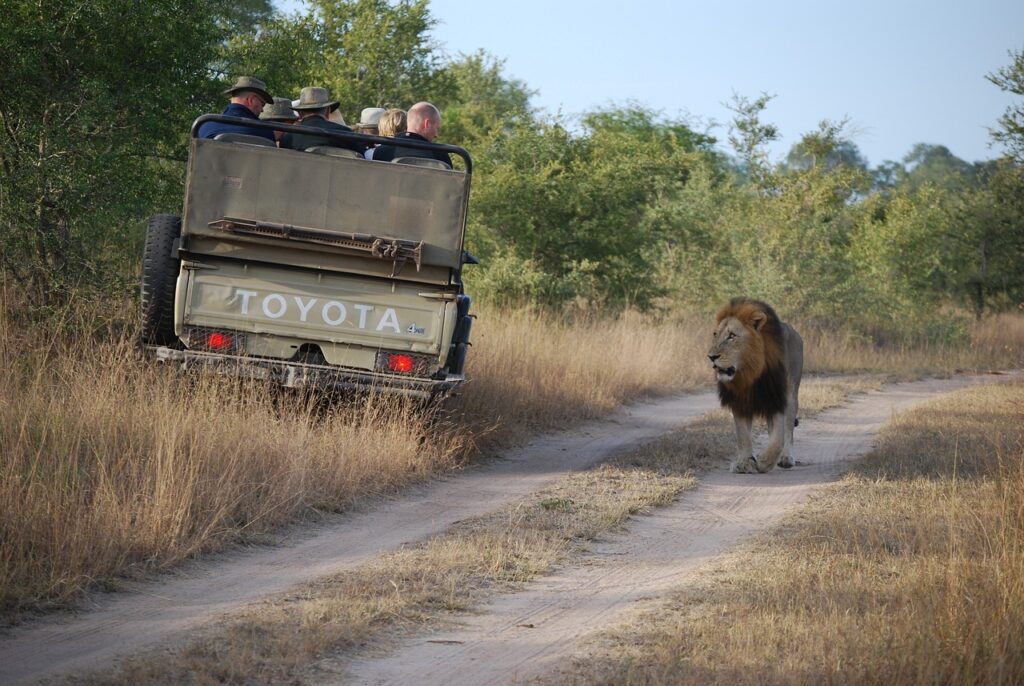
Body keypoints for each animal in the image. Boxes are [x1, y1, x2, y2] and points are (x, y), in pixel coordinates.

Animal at [708, 298, 802, 475]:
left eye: (732, 336)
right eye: (715, 334)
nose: (711, 357)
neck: (750, 372)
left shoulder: (777, 396)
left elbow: (779, 437)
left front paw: (765, 461)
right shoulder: (739, 401)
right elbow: (743, 436)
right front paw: (743, 462)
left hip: (791, 394)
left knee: (787, 428)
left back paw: (785, 458)